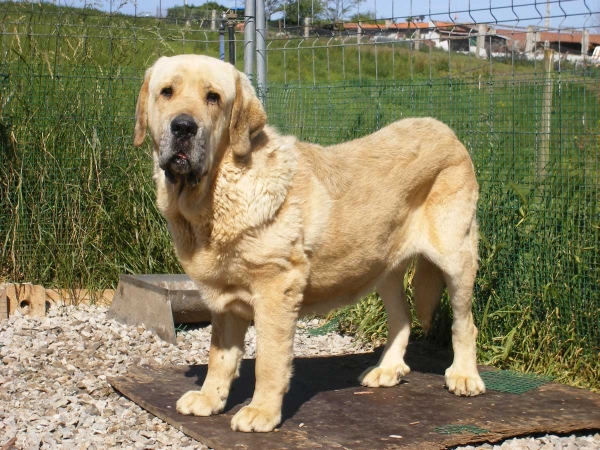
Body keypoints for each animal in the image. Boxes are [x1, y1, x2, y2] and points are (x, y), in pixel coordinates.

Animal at [134, 54, 486, 434]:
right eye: (166, 92)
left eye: (213, 97)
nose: (183, 127)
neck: (217, 192)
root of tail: (448, 131)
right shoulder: (225, 299)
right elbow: (220, 357)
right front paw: (210, 399)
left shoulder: (276, 288)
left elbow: (269, 360)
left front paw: (262, 412)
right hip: (383, 266)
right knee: (402, 319)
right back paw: (388, 369)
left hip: (456, 258)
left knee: (464, 322)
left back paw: (464, 376)